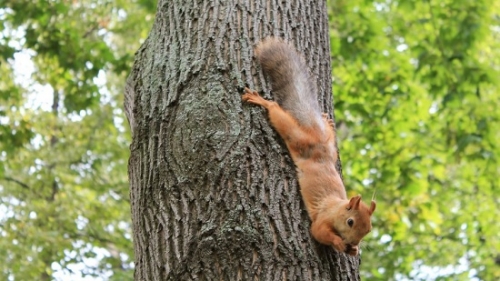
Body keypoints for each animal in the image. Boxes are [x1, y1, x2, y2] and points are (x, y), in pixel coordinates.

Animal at [242, 37, 376, 256]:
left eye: (368, 230)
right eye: (350, 222)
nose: (351, 243)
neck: (337, 208)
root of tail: (317, 140)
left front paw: (353, 250)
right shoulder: (323, 218)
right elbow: (319, 232)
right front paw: (338, 243)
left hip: (331, 147)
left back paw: (327, 123)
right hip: (297, 138)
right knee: (278, 115)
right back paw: (262, 101)